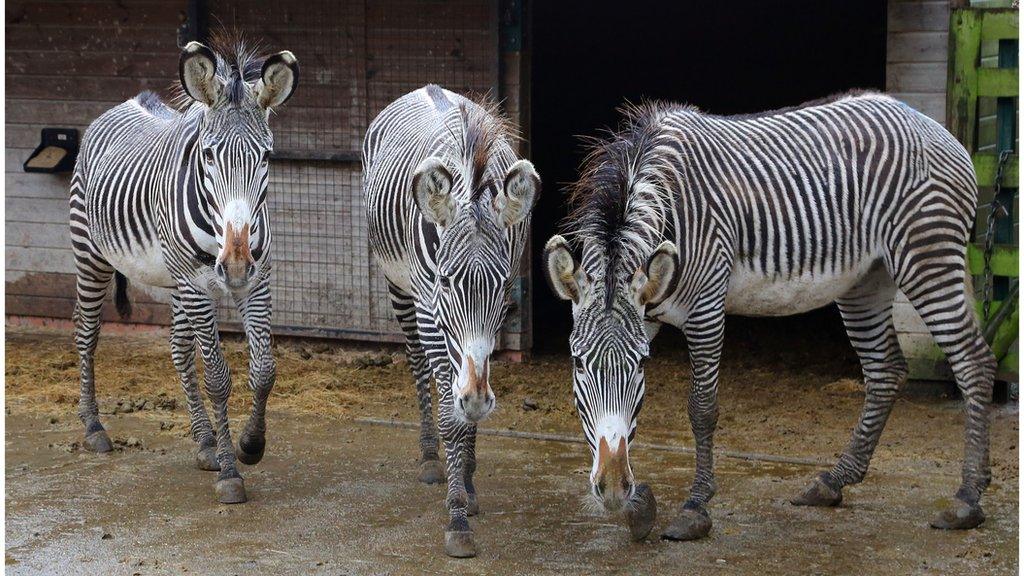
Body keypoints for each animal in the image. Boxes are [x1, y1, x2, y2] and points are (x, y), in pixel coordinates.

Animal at [69, 36, 296, 502]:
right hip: (91, 254)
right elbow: (218, 378)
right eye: (207, 155)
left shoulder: (257, 281)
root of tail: (126, 102)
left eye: (267, 156)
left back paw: (205, 442)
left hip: (175, 282)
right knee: (86, 334)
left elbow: (264, 371)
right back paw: (95, 428)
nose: (235, 263)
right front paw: (230, 473)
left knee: (177, 350)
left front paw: (249, 445)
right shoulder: (197, 284)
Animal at [366, 85, 544, 557]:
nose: (479, 400)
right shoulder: (431, 308)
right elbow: (451, 414)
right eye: (447, 279)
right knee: (416, 362)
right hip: (400, 290)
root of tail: (427, 88)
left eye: (502, 285)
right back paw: (432, 457)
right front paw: (457, 517)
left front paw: (467, 483)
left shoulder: (490, 323)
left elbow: (470, 393)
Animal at [548, 91, 995, 541]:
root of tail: (931, 125)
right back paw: (833, 482)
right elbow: (623, 420)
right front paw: (636, 503)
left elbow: (701, 408)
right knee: (886, 370)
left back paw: (968, 499)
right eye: (577, 363)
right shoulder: (646, 310)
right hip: (866, 279)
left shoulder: (706, 306)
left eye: (642, 363)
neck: (671, 201)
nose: (612, 488)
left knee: (973, 362)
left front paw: (695, 507)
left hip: (927, 256)